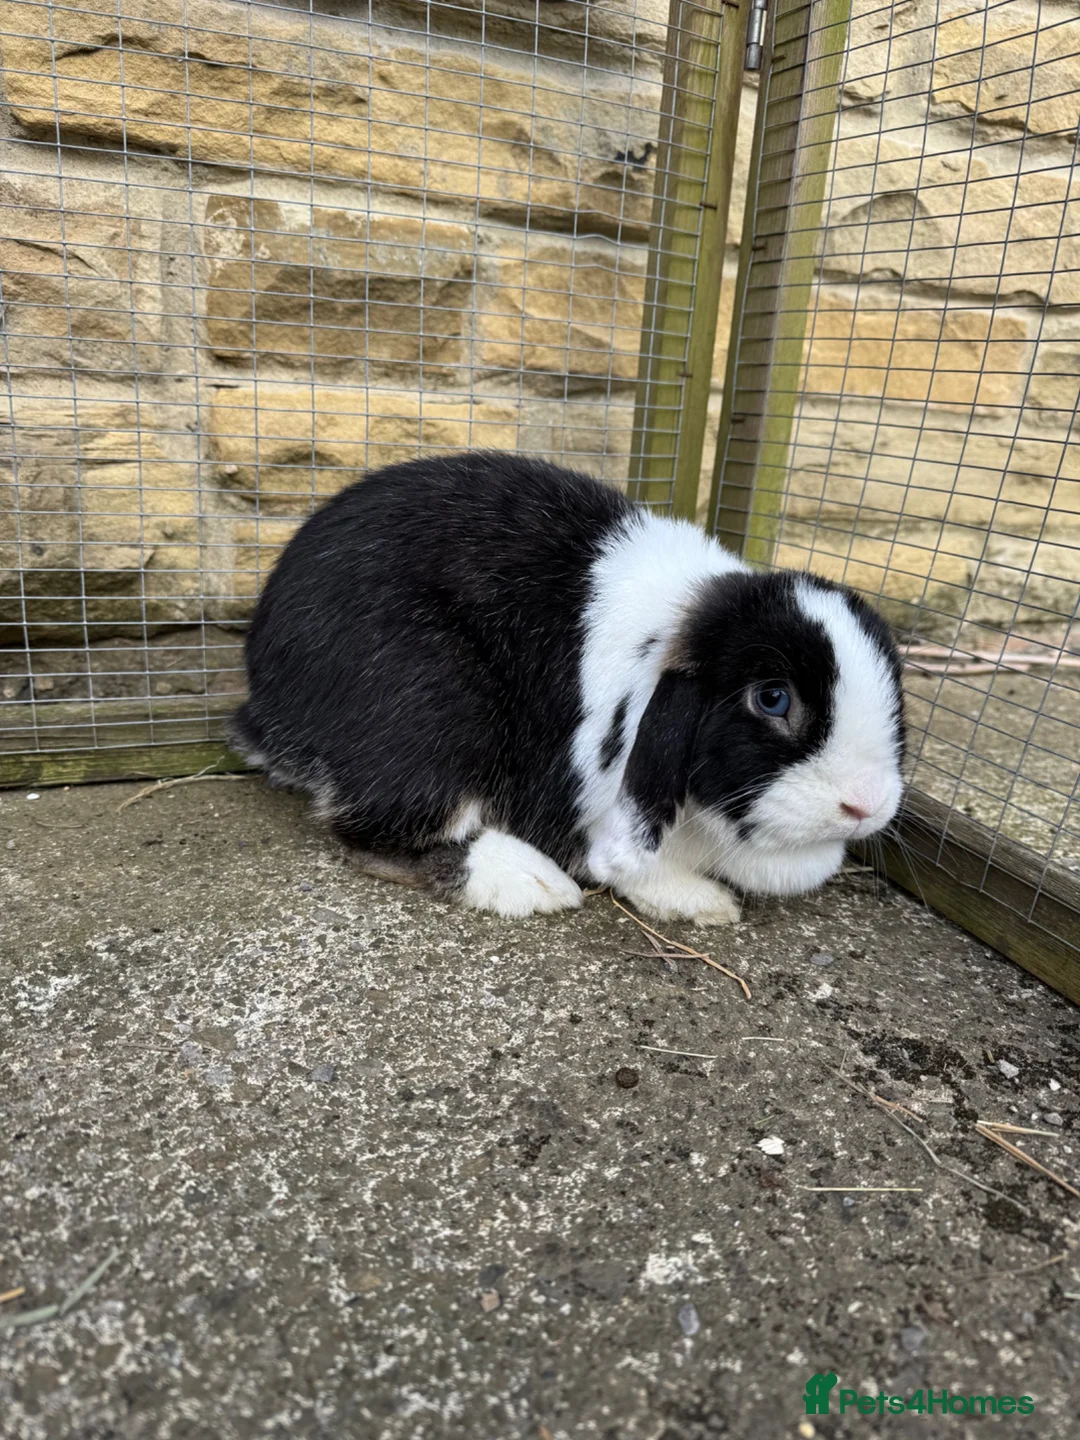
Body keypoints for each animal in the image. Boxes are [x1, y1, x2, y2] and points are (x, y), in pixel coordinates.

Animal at [229, 451, 905, 923]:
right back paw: (532, 883)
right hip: (430, 710)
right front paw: (700, 901)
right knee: (377, 834)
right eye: (772, 698)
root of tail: (265, 699)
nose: (866, 805)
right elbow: (623, 860)